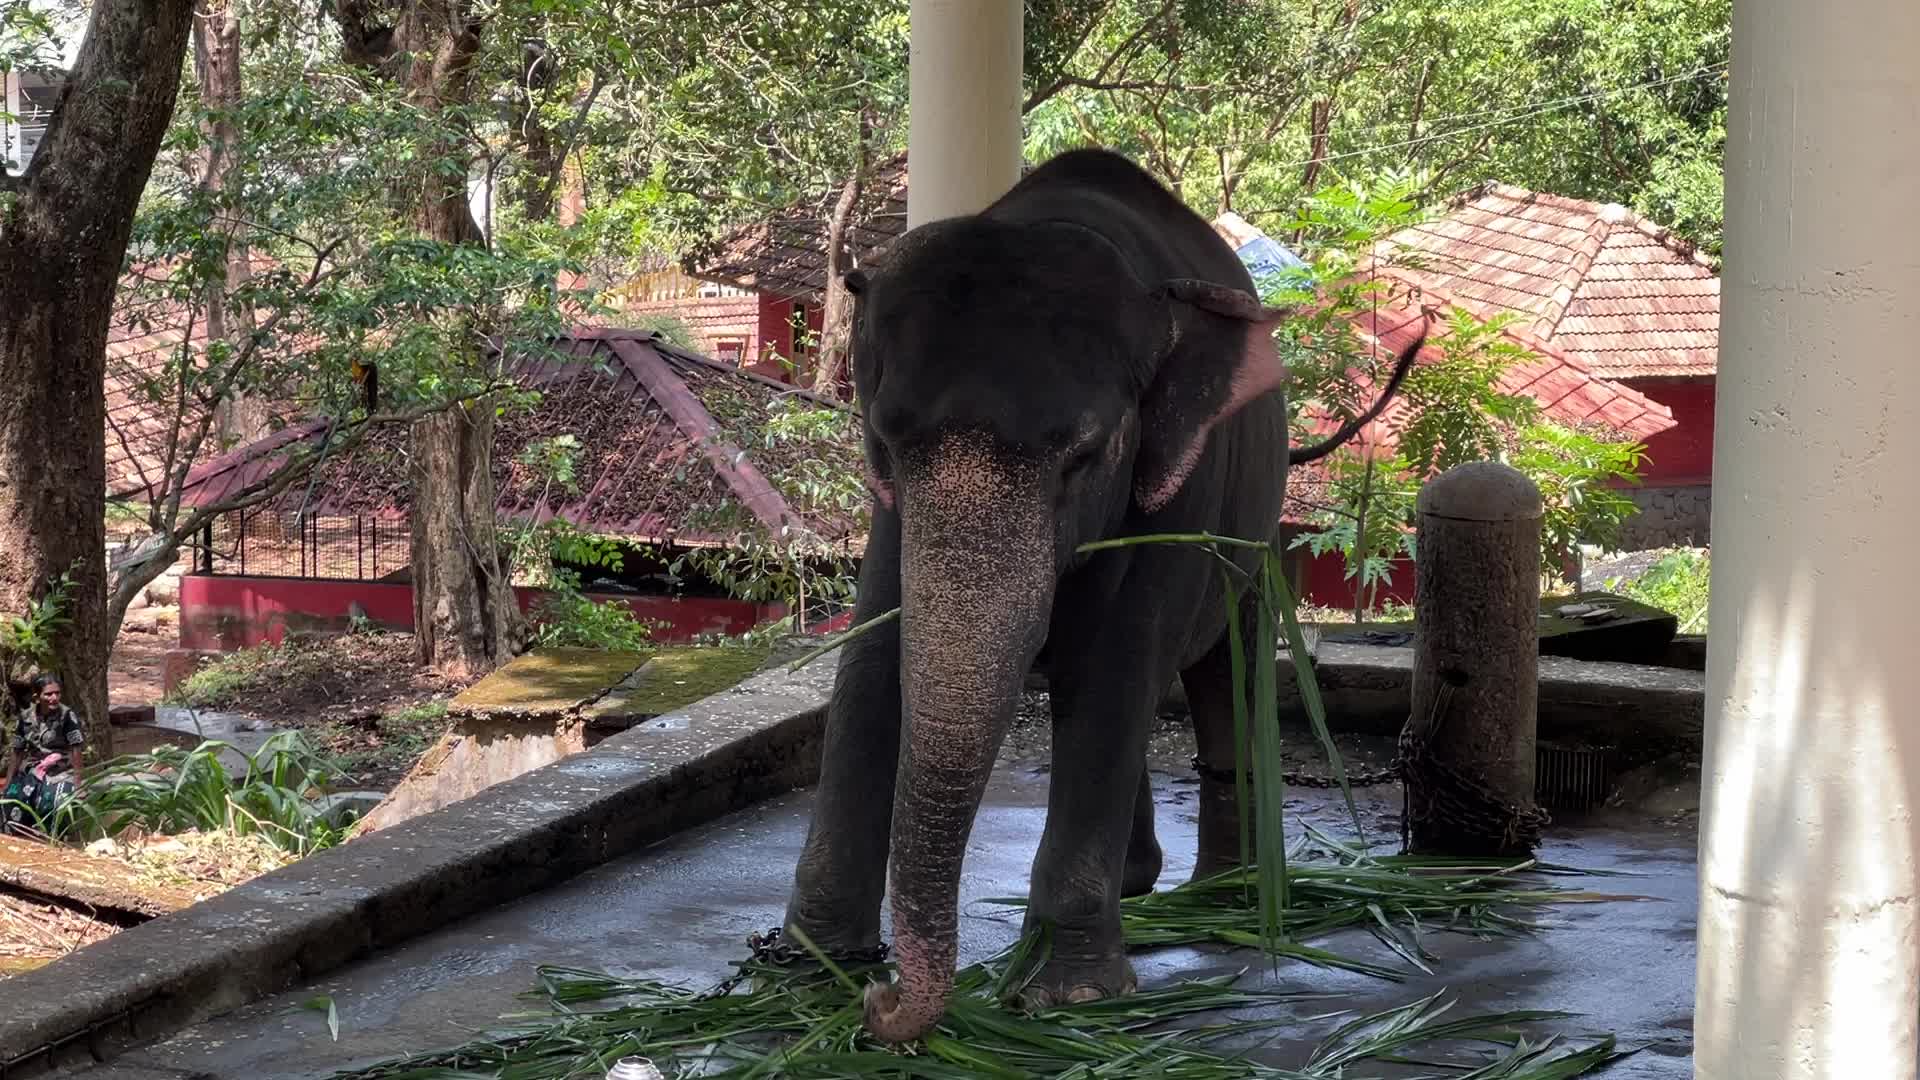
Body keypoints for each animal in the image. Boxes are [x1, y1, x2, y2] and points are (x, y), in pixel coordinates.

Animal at [777, 147, 1423, 1044]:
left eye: (1085, 456)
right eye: (887, 441)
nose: (883, 1001)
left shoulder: (1172, 492)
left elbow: (1116, 667)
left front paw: (1068, 997)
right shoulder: (887, 513)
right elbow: (873, 661)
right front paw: (810, 965)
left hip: (1254, 533)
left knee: (1226, 668)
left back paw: (1222, 894)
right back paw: (1140, 880)